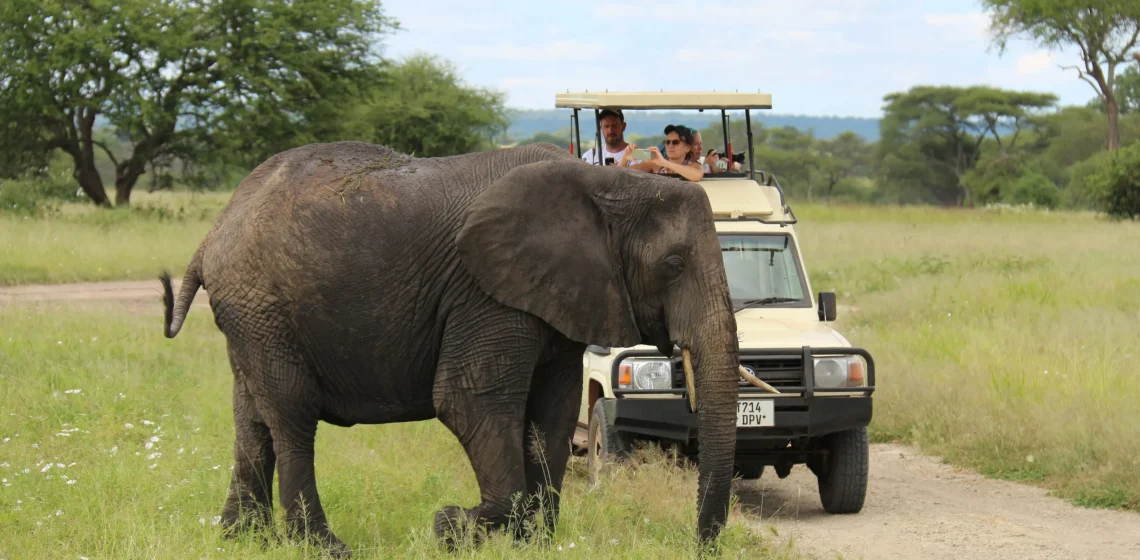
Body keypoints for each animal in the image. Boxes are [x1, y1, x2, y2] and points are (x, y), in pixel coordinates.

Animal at [160, 141, 743, 556]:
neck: (610, 183)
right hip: (264, 307)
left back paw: (240, 541)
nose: (698, 545)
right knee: (291, 419)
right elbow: (469, 402)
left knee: (252, 420)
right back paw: (324, 548)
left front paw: (533, 543)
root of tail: (212, 234)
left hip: (251, 316)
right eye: (673, 265)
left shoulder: (554, 297)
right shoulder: (485, 295)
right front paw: (451, 527)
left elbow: (552, 415)